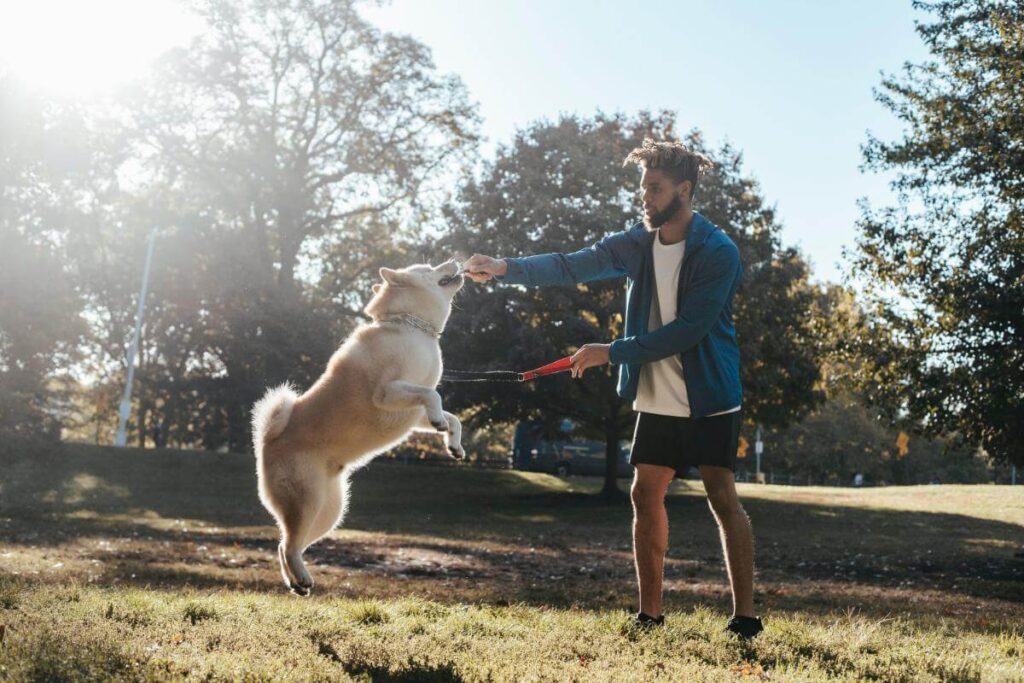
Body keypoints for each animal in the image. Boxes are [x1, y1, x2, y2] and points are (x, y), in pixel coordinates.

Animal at [251, 259, 464, 593]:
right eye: (429, 267)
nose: (454, 260)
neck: (412, 327)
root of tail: (267, 442)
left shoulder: (413, 412)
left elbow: (449, 413)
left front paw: (453, 442)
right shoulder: (388, 392)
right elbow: (433, 394)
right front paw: (441, 421)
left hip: (330, 511)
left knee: (286, 544)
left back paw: (296, 581)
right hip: (308, 500)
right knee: (288, 544)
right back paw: (301, 577)